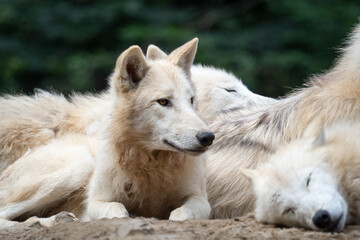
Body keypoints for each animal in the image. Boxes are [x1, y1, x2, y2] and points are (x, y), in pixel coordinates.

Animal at [0, 38, 214, 228]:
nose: (207, 137)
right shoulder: (97, 202)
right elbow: (117, 210)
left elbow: (180, 214)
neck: (150, 166)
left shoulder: (200, 200)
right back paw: (53, 221)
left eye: (191, 100)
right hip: (79, 164)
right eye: (163, 102)